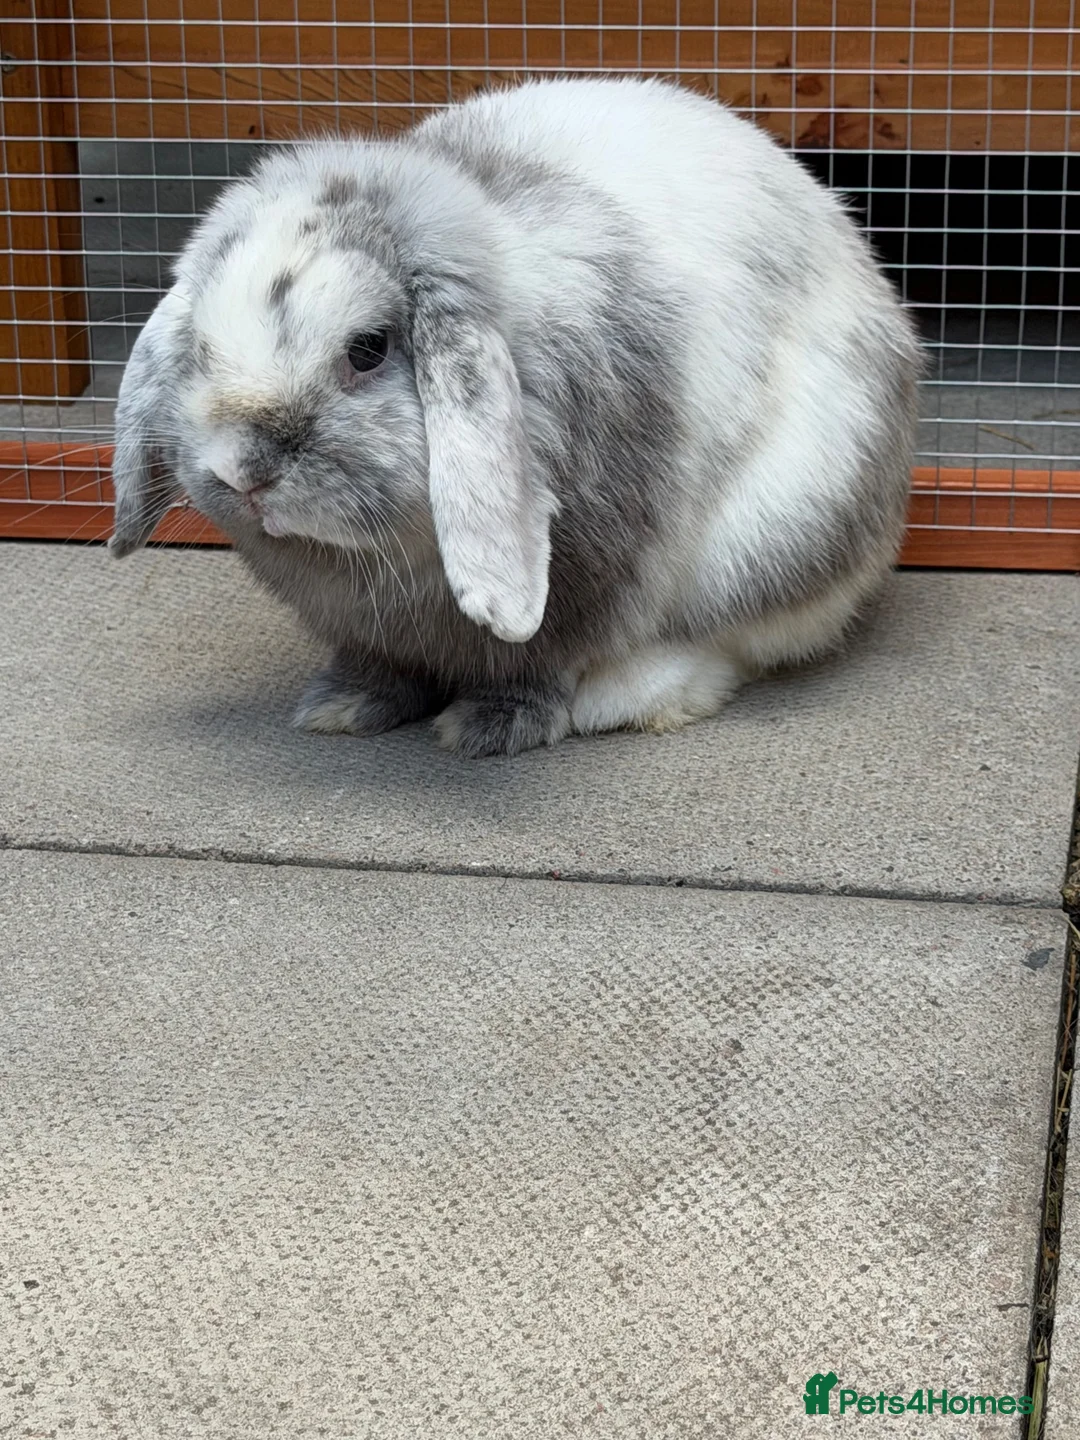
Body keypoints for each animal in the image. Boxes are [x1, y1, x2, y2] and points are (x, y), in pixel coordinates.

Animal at [109, 76, 920, 757]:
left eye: (368, 349)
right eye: (200, 346)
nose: (241, 471)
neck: (385, 559)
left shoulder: (585, 579)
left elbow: (537, 658)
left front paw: (489, 728)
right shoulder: (366, 624)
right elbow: (376, 664)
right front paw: (342, 708)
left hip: (785, 525)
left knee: (737, 639)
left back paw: (626, 698)